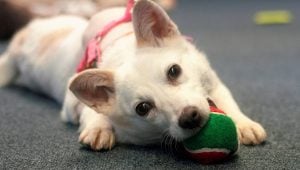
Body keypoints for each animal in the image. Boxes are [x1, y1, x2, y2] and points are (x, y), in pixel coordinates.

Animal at [0, 0, 266, 150]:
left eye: (174, 71)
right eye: (143, 108)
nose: (190, 117)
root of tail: (31, 27)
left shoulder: (214, 83)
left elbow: (228, 103)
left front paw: (245, 125)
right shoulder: (71, 105)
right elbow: (90, 112)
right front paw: (99, 128)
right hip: (13, 63)